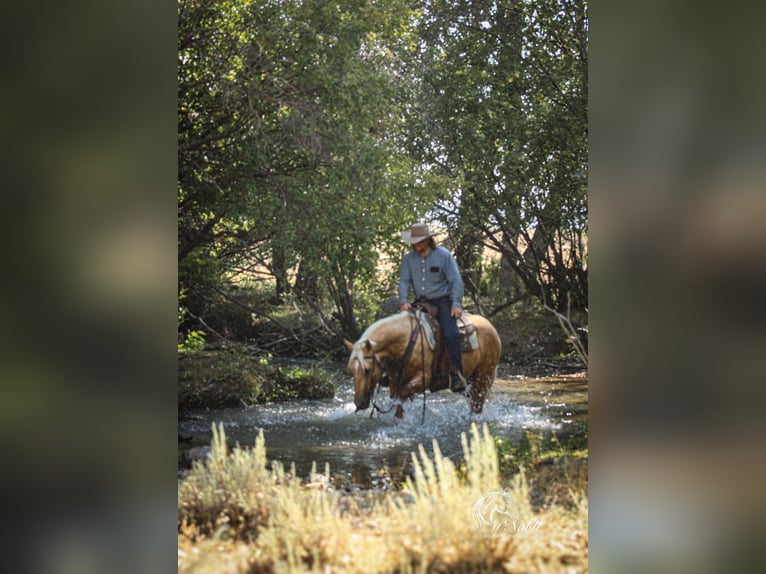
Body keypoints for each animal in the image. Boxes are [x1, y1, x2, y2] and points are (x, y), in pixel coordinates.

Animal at [345, 310, 502, 418]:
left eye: (367, 369)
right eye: (351, 371)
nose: (359, 403)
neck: (406, 342)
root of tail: (491, 327)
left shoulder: (423, 378)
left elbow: (404, 393)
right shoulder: (394, 381)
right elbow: (397, 398)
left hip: (483, 378)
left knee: (477, 405)